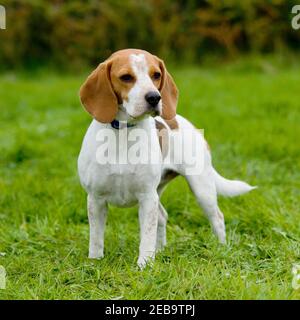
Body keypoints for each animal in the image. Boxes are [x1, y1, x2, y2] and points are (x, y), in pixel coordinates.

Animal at [77, 48, 255, 268]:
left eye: (156, 75)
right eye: (126, 77)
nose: (154, 97)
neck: (125, 132)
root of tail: (182, 121)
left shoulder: (146, 197)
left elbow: (146, 236)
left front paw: (144, 265)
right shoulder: (96, 199)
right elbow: (96, 237)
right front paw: (94, 262)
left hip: (201, 189)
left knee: (217, 219)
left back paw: (221, 249)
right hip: (160, 192)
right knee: (163, 216)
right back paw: (160, 250)